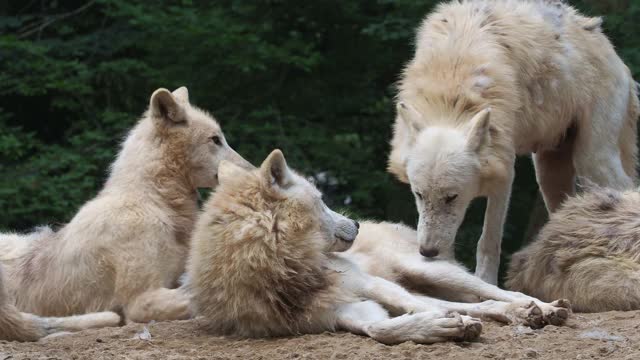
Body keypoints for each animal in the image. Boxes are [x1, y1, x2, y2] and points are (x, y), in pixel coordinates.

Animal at [186, 148, 568, 344]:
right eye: (321, 201)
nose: (356, 224)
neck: (286, 270)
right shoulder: (338, 312)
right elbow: (379, 329)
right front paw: (436, 327)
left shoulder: (367, 285)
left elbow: (410, 307)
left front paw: (447, 323)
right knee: (481, 304)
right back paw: (516, 315)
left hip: (428, 271)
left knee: (497, 292)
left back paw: (542, 308)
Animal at [388, 0, 636, 286]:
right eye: (418, 195)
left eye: (452, 197)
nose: (427, 251)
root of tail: (614, 54)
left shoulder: (504, 169)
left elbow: (488, 240)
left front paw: (485, 281)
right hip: (549, 172)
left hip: (593, 160)